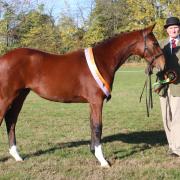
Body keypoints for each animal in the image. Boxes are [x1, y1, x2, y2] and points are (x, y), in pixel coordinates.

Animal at [0, 23, 165, 167]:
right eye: (155, 43)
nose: (163, 64)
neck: (102, 60)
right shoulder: (97, 101)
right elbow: (98, 126)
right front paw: (103, 160)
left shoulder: (92, 102)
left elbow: (92, 125)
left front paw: (94, 153)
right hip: (6, 98)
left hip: (20, 96)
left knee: (11, 121)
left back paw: (17, 156)